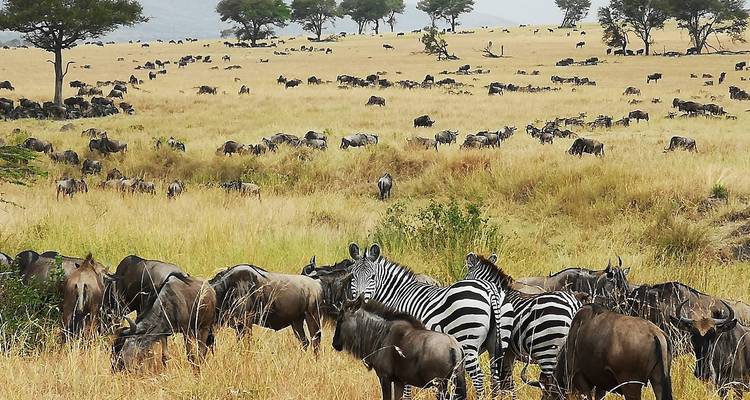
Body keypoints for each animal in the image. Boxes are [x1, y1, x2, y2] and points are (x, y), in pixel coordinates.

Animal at [348, 243, 515, 398]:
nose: (359, 301)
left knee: (479, 377)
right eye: (352, 277)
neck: (397, 293)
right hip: (498, 343)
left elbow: (405, 385)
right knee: (495, 377)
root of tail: (490, 290)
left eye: (372, 277)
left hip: (467, 340)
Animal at [464, 253, 582, 397]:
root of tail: (572, 306)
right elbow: (507, 381)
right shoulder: (510, 352)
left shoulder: (505, 350)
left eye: (466, 278)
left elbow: (505, 380)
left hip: (548, 351)